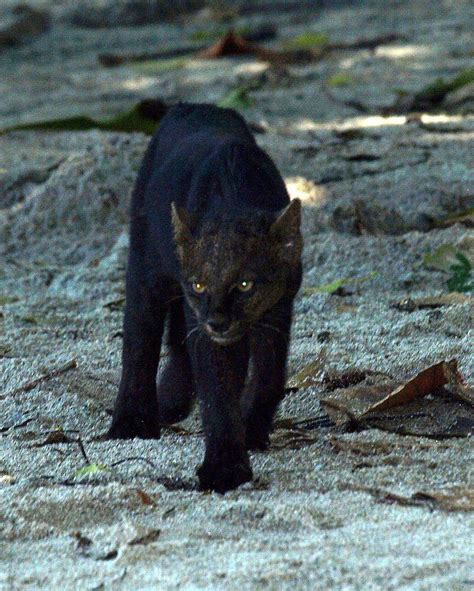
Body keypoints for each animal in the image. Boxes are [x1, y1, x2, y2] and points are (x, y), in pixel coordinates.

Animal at [109, 104, 302, 492]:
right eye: (199, 285)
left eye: (245, 284)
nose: (217, 321)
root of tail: (196, 106)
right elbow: (217, 387)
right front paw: (225, 466)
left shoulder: (276, 313)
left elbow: (269, 376)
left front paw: (251, 430)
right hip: (146, 270)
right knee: (140, 340)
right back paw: (132, 421)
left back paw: (171, 399)